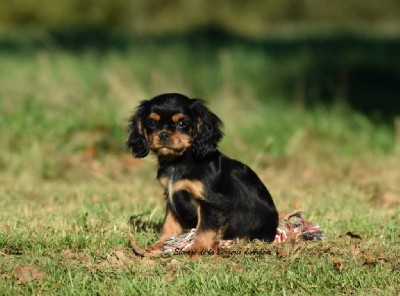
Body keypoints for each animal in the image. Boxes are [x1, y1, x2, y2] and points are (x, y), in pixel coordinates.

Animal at [128, 93, 278, 252]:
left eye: (181, 123)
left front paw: (197, 249)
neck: (178, 162)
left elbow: (204, 228)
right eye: (151, 122)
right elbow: (169, 224)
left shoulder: (210, 202)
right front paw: (159, 245)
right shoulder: (171, 198)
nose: (163, 134)